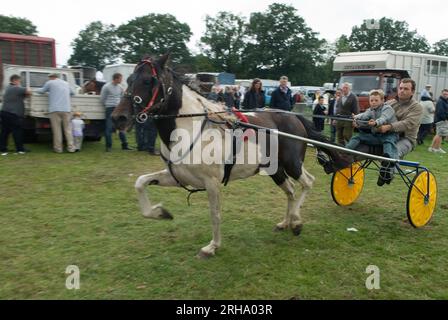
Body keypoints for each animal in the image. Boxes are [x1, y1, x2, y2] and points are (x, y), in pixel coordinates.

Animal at [111, 53, 350, 258]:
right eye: (129, 79)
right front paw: (160, 212)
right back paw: (286, 222)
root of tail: (294, 117)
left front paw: (212, 247)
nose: (118, 117)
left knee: (308, 182)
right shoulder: (177, 176)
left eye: (149, 80)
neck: (190, 127)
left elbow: (215, 214)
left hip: (292, 164)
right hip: (276, 169)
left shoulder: (212, 182)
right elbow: (140, 182)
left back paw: (296, 221)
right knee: (290, 191)